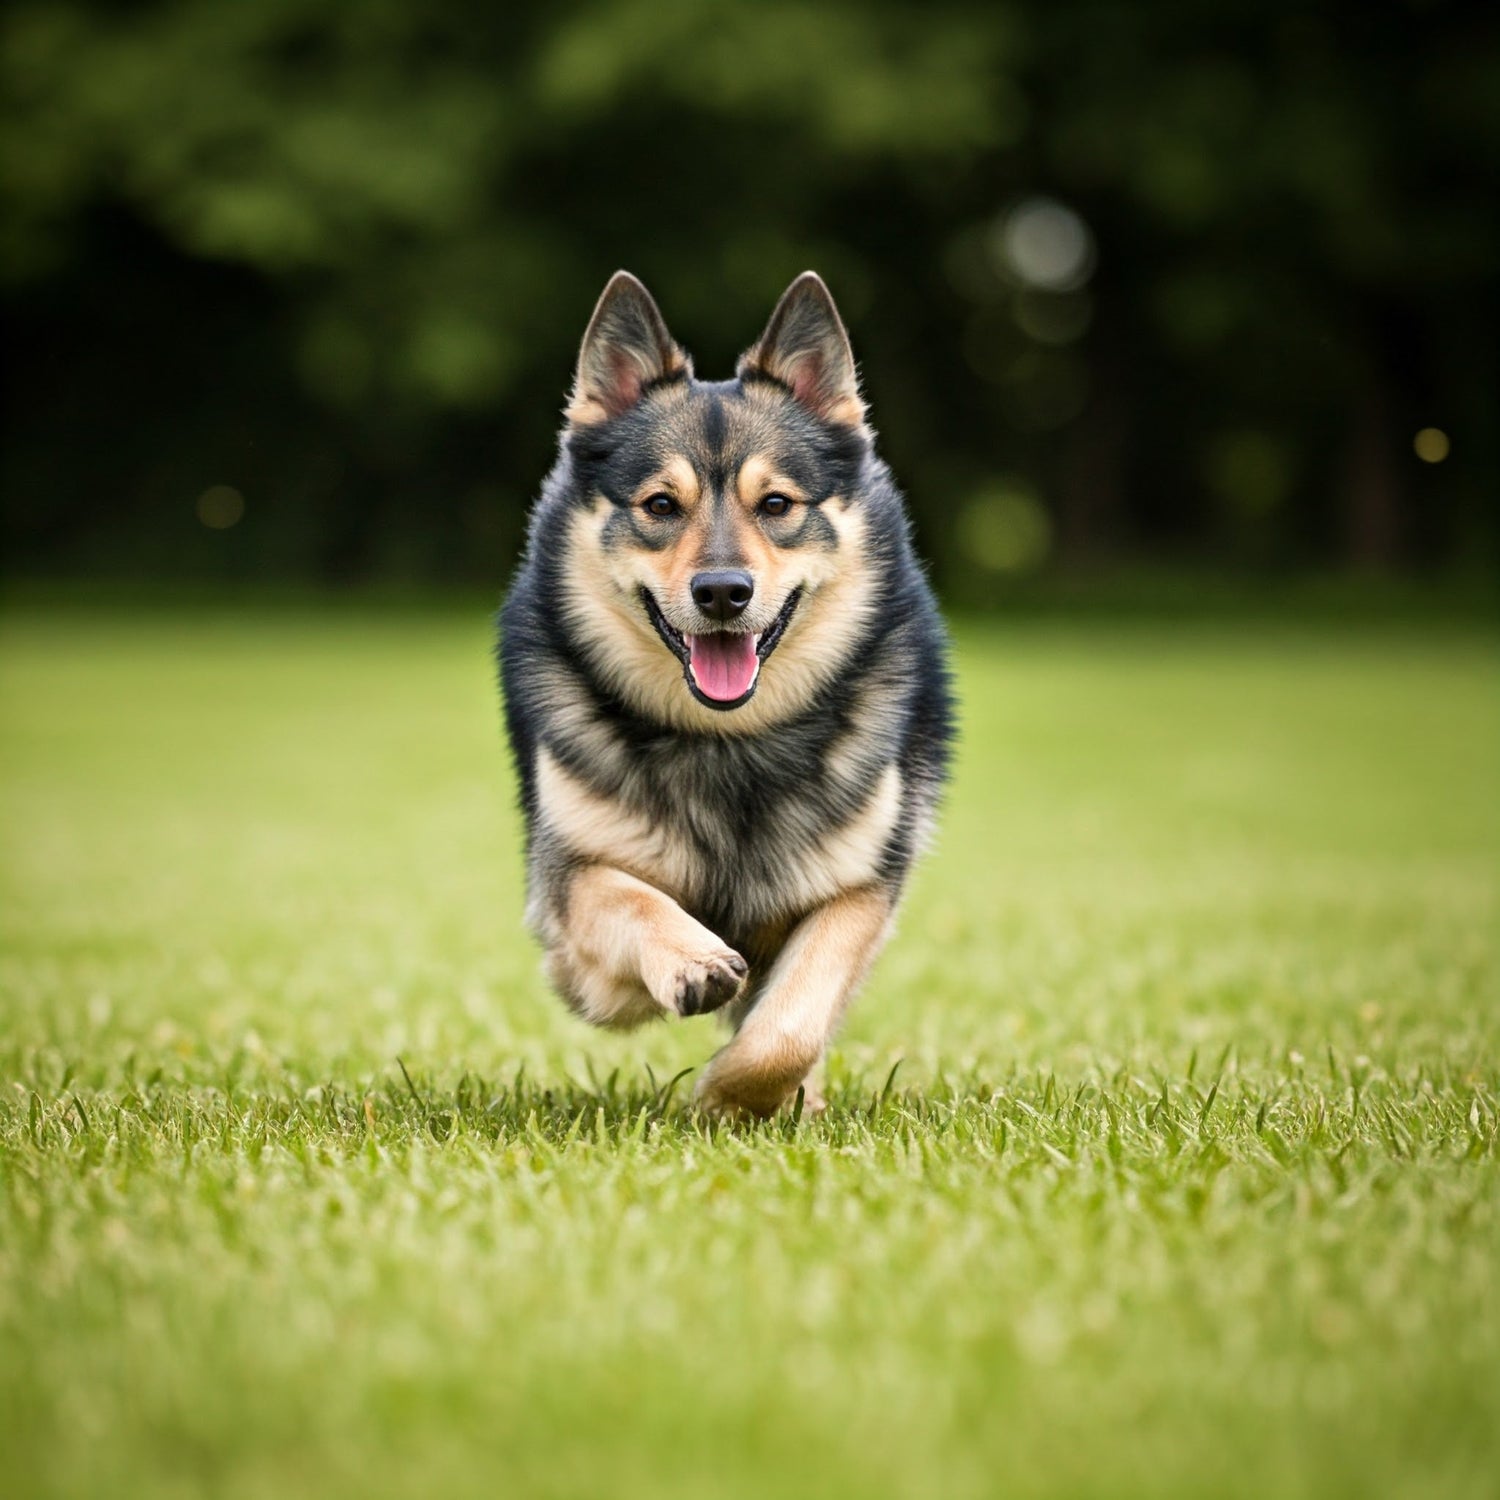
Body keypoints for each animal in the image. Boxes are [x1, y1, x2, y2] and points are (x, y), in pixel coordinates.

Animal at [498, 270, 954, 1122]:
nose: (721, 592)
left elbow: (790, 1029)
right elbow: (633, 901)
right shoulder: (569, 913)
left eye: (776, 505)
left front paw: (728, 1096)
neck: (728, 741)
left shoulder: (860, 888)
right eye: (659, 506)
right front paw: (692, 961)